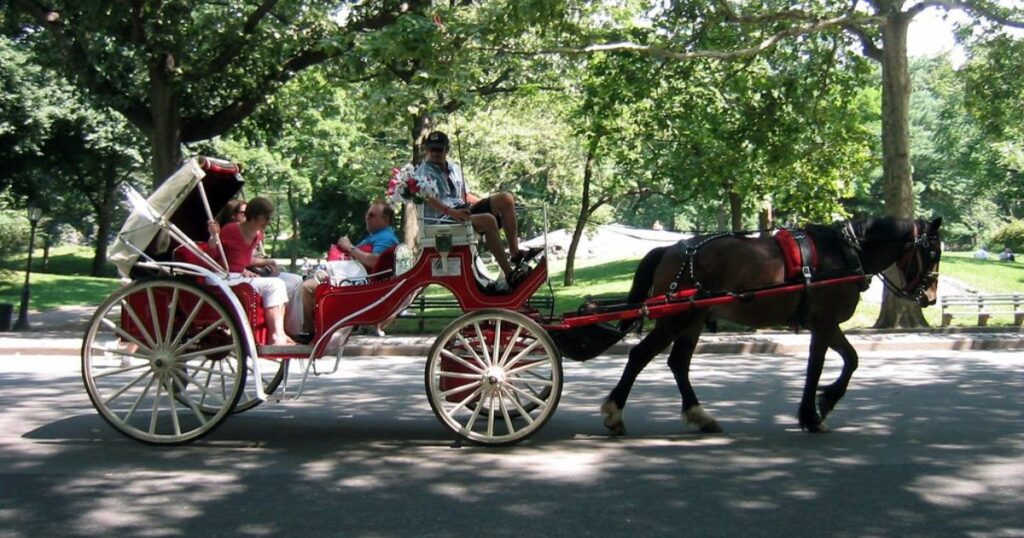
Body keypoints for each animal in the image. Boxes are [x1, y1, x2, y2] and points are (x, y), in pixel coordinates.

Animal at [598, 216, 942, 434]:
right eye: (934, 251)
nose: (929, 296)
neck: (846, 253)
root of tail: (669, 249)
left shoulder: (826, 325)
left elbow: (844, 361)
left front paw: (821, 404)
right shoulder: (824, 323)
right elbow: (826, 366)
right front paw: (815, 412)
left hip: (692, 320)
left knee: (678, 364)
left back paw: (700, 416)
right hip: (675, 320)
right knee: (640, 356)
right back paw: (614, 412)